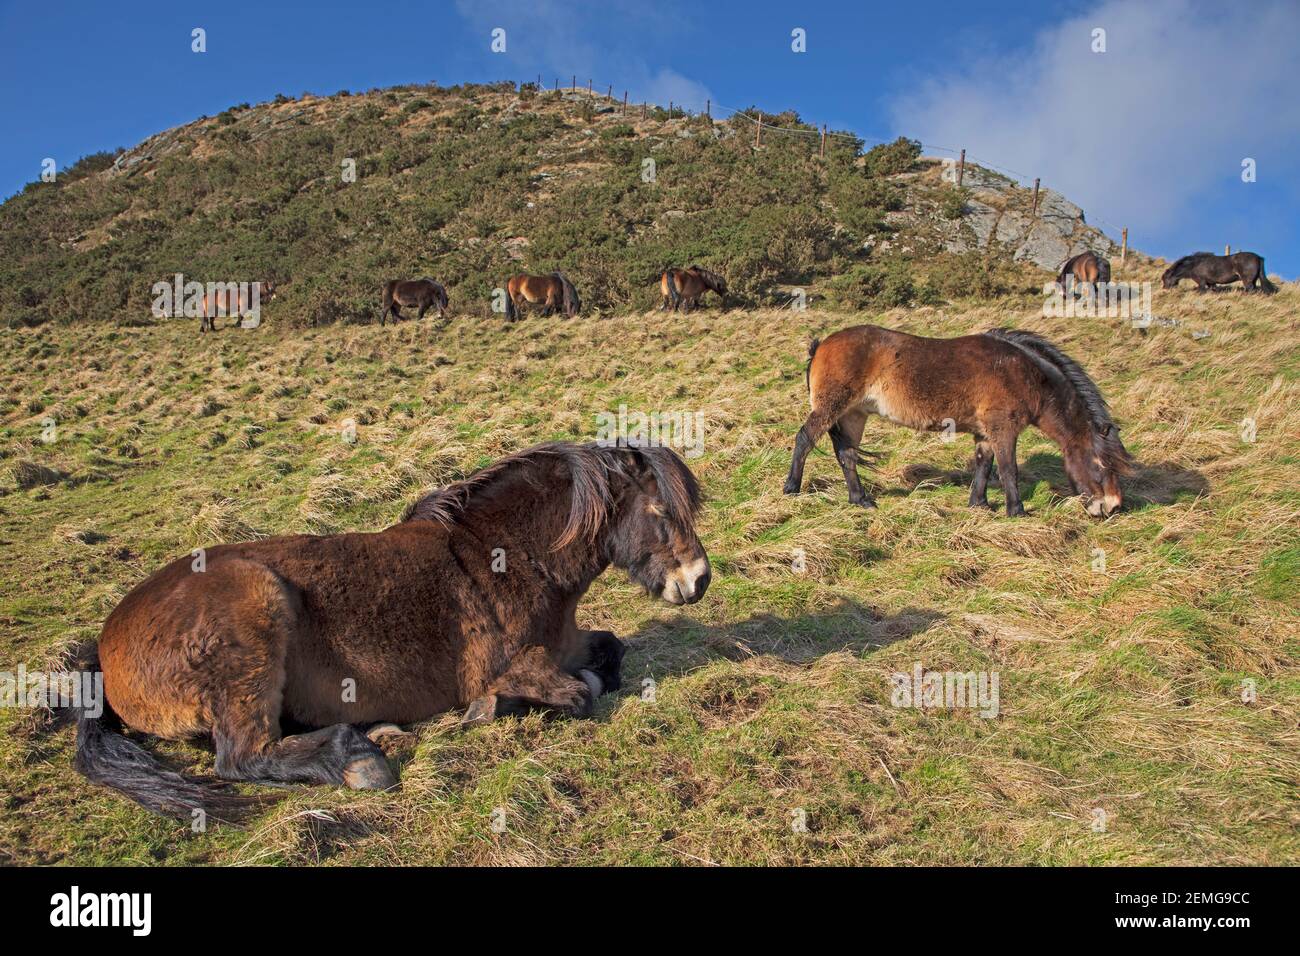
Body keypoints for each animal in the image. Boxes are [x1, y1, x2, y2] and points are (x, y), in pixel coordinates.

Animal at [72, 442, 712, 822]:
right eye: (660, 513)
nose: (699, 579)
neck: (503, 556)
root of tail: (106, 639)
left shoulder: (568, 640)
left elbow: (610, 651)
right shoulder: (513, 664)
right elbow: (577, 692)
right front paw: (489, 708)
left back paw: (377, 733)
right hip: (256, 613)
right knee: (242, 757)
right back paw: (358, 758)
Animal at [780, 325, 1138, 520]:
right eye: (1101, 465)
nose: (1114, 506)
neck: (1026, 374)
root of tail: (821, 344)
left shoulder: (985, 432)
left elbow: (984, 465)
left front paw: (979, 504)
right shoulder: (1003, 428)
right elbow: (1008, 469)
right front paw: (1017, 511)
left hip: (853, 414)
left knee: (847, 455)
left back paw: (861, 499)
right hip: (832, 408)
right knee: (805, 439)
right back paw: (792, 488)